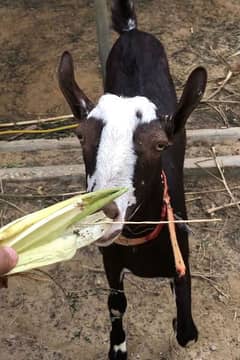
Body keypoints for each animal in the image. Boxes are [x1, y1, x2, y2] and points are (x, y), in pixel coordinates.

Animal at [57, 1, 206, 358]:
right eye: (80, 135)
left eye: (160, 144)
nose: (102, 213)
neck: (139, 240)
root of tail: (131, 30)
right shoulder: (111, 261)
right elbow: (116, 304)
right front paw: (118, 347)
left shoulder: (180, 255)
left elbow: (186, 331)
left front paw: (179, 325)